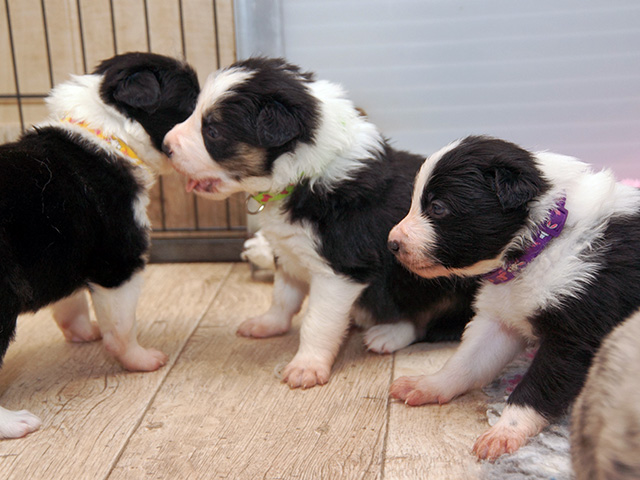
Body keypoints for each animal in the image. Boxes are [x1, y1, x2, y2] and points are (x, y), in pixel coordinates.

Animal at [0, 52, 199, 439]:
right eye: (192, 102)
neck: (109, 133)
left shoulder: (63, 254)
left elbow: (70, 304)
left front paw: (84, 333)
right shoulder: (120, 265)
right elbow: (121, 328)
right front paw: (141, 360)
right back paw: (15, 423)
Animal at [162, 57, 478, 388]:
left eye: (212, 131)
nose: (165, 145)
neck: (302, 175)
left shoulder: (340, 270)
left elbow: (317, 322)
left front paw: (306, 367)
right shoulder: (288, 251)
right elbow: (283, 296)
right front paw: (268, 324)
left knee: (439, 323)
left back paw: (386, 334)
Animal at [386, 135, 640, 460]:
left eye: (437, 207)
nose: (391, 243)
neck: (543, 243)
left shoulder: (574, 337)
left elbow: (536, 389)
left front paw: (505, 431)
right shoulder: (501, 318)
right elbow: (466, 361)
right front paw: (431, 384)